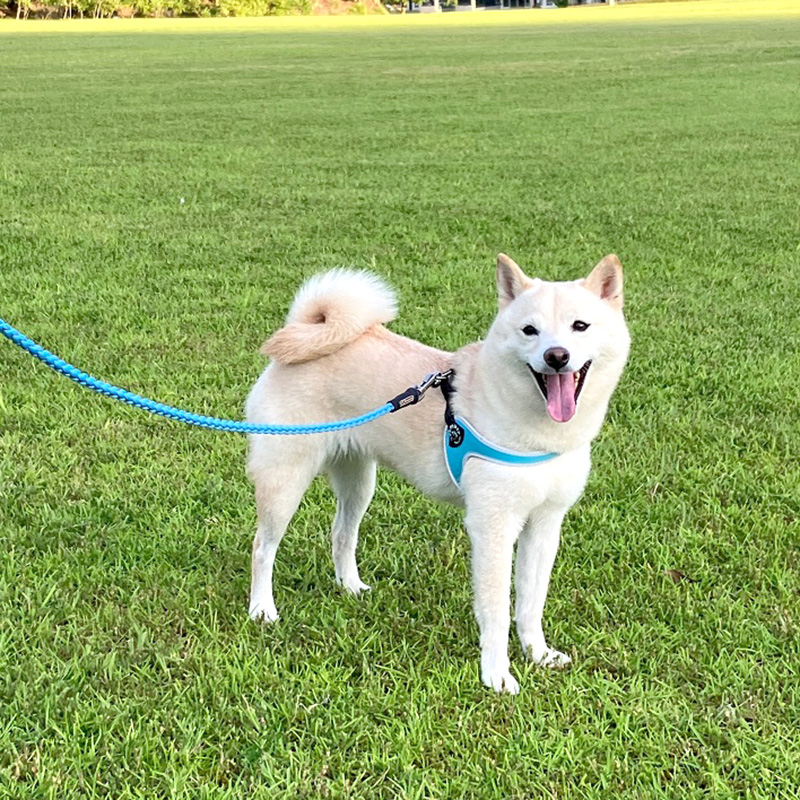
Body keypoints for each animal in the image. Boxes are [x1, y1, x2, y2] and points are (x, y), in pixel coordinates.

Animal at [247, 256, 628, 692]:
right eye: (529, 330)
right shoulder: (493, 527)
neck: (538, 436)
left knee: (342, 534)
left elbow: (532, 603)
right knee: (263, 547)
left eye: (580, 326)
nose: (557, 356)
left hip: (359, 482)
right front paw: (497, 674)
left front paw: (538, 654)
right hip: (285, 480)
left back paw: (350, 587)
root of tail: (303, 330)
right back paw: (262, 609)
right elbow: (497, 609)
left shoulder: (546, 524)